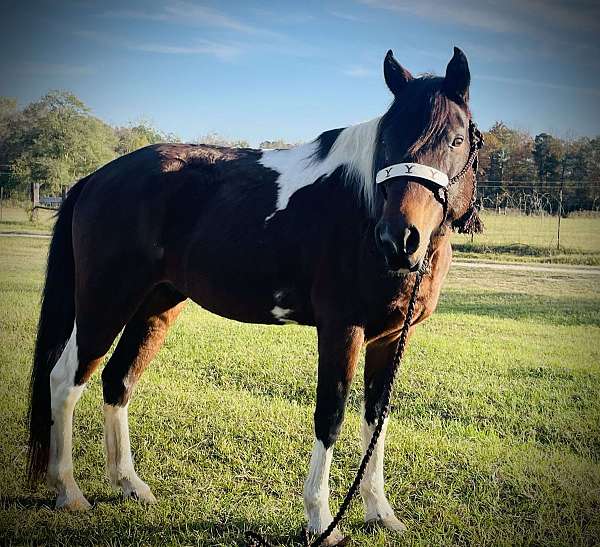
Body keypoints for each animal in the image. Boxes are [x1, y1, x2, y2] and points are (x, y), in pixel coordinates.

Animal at [27, 47, 482, 544]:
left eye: (457, 140)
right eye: (388, 139)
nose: (399, 239)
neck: (362, 210)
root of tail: (96, 178)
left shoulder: (390, 338)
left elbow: (375, 419)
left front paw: (380, 513)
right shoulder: (342, 330)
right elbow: (331, 416)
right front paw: (322, 522)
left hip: (155, 306)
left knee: (118, 379)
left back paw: (130, 484)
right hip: (103, 304)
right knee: (64, 380)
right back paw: (69, 491)